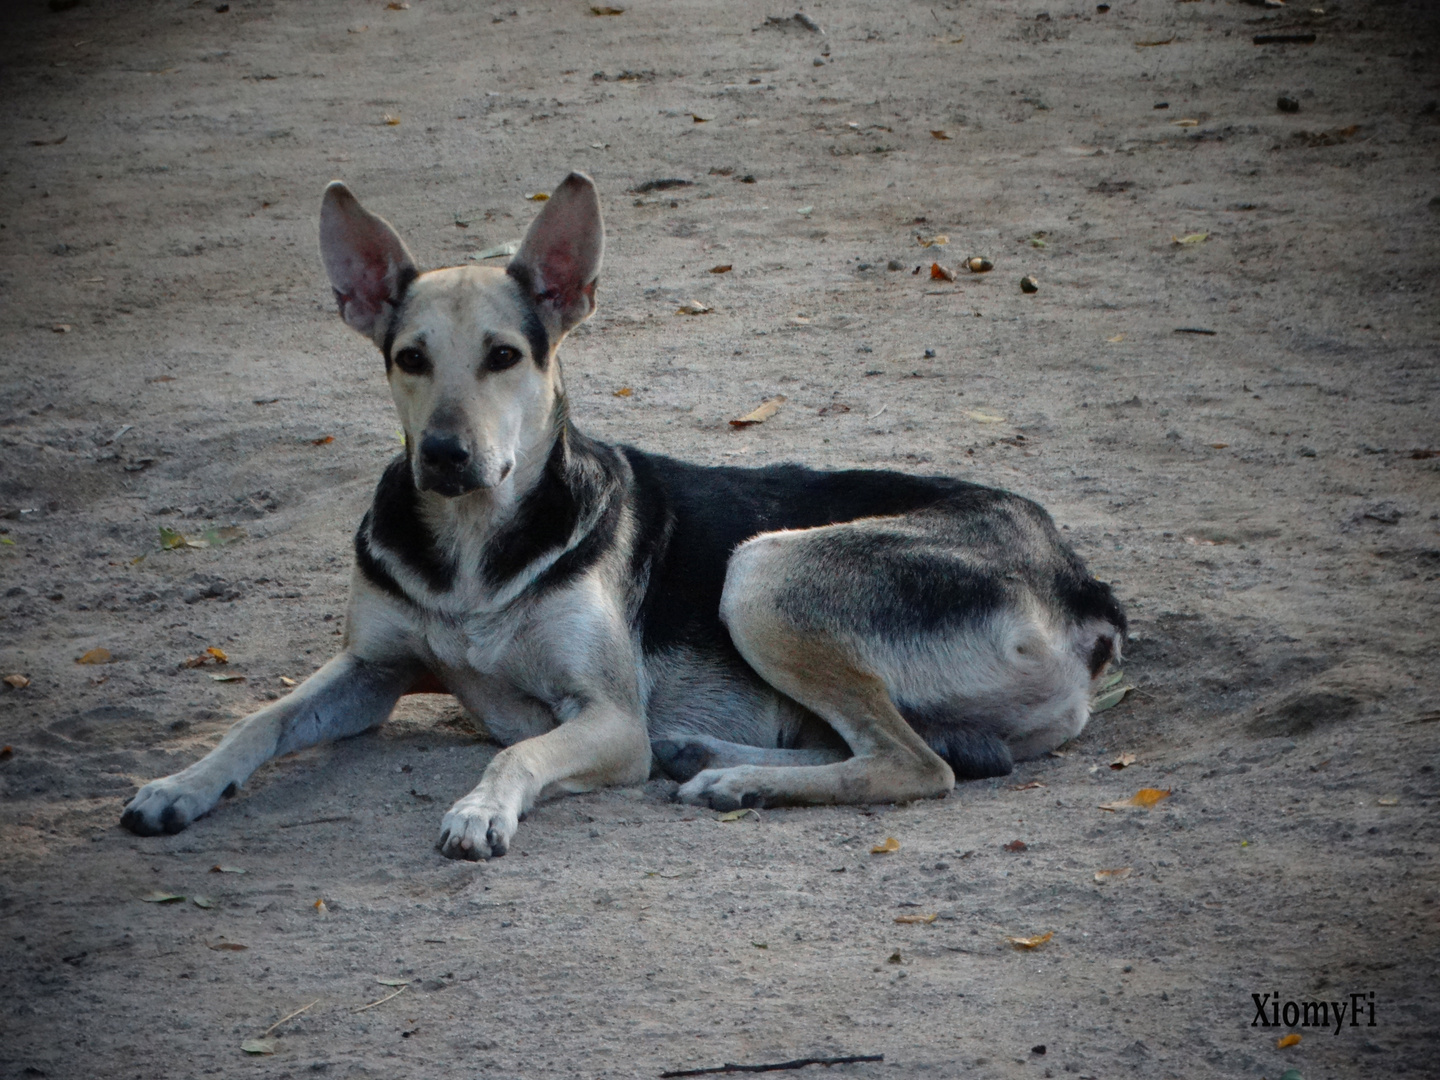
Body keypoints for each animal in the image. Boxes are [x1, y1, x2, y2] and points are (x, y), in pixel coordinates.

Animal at [120, 171, 1123, 864]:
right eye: (409, 358)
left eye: (504, 356)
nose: (443, 455)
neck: (473, 548)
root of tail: (1084, 585)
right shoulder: (369, 670)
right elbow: (257, 720)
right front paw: (178, 785)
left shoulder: (604, 715)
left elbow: (517, 756)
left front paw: (481, 808)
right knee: (914, 749)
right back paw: (708, 756)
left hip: (763, 571)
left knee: (918, 764)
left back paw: (738, 781)